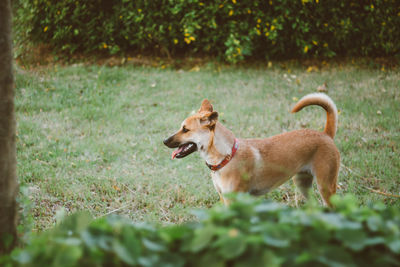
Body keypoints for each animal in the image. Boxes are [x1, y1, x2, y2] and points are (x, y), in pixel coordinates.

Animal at [164, 94, 340, 207]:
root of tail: (325, 134)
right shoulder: (223, 198)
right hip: (302, 184)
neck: (226, 156)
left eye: (185, 130)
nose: (164, 141)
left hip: (326, 186)